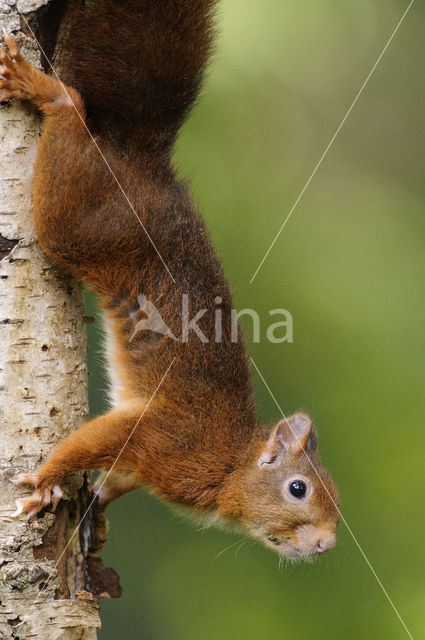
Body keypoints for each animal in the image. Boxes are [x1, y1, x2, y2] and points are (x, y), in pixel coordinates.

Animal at [0, 0, 338, 556]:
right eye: (298, 488)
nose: (327, 544)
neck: (229, 467)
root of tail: (143, 162)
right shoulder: (163, 439)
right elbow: (95, 441)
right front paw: (47, 480)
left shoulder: (142, 466)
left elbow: (116, 478)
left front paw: (98, 514)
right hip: (81, 220)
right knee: (71, 116)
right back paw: (47, 91)